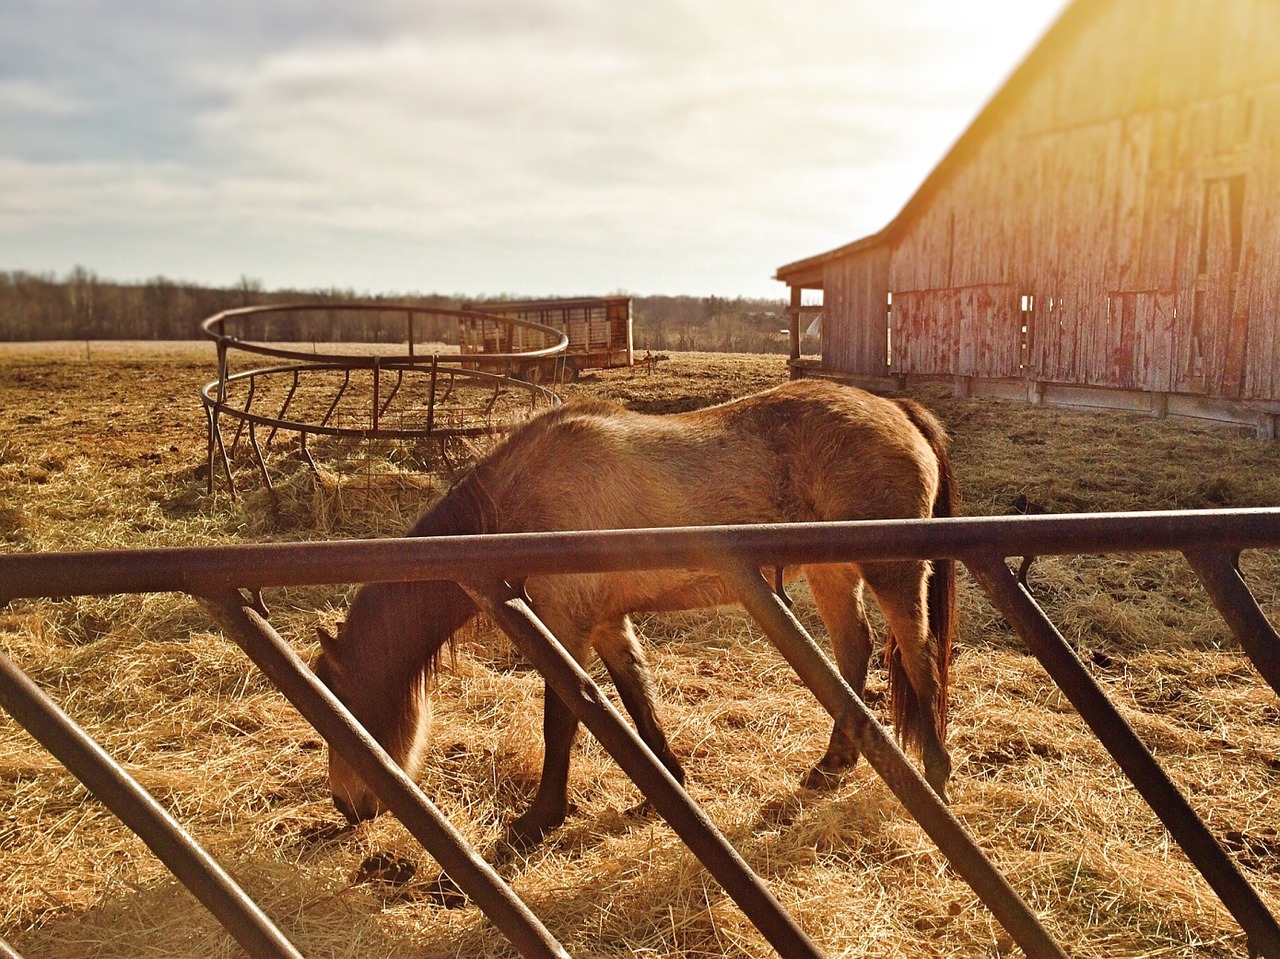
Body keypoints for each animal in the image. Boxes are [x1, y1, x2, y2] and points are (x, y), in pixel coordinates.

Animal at [317, 378, 962, 839]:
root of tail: (900, 409)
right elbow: (635, 695)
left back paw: (935, 773)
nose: (348, 806)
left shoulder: (565, 625)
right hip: (834, 574)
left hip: (892, 573)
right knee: (854, 650)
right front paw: (669, 782)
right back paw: (833, 763)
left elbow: (563, 719)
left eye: (346, 712)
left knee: (920, 657)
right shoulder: (604, 622)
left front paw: (540, 818)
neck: (520, 501)